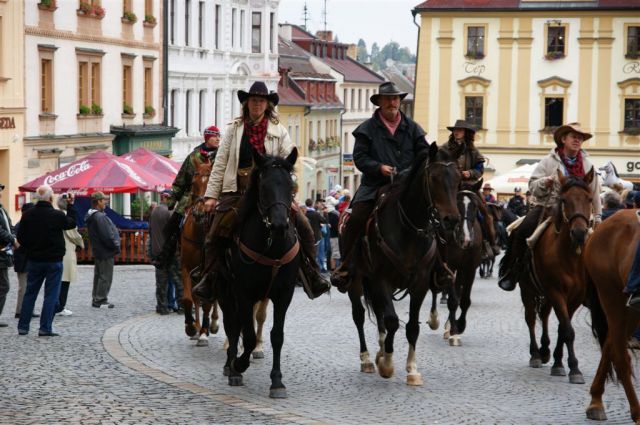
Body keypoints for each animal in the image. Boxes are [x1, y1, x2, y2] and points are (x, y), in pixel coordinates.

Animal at [218, 147, 300, 398]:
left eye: (290, 186)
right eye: (263, 187)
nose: (280, 226)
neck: (272, 247)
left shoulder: (283, 295)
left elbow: (277, 336)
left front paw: (277, 381)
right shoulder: (243, 293)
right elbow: (249, 336)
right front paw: (239, 365)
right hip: (226, 292)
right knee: (232, 325)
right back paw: (231, 366)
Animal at [344, 143, 460, 384]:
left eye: (457, 178)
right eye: (433, 178)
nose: (451, 220)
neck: (408, 229)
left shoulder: (420, 283)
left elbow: (412, 326)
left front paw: (412, 369)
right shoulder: (381, 279)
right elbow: (392, 321)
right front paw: (387, 364)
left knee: (378, 314)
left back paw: (379, 351)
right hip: (357, 281)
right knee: (359, 315)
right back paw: (367, 359)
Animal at [516, 167, 592, 382]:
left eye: (590, 199)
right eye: (564, 200)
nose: (579, 233)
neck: (570, 257)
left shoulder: (575, 297)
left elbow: (562, 328)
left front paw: (558, 362)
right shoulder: (556, 291)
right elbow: (567, 329)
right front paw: (574, 368)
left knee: (544, 315)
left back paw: (545, 350)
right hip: (527, 289)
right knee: (531, 318)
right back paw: (535, 354)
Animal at [584, 208, 640, 420]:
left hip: (630, 312)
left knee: (610, 344)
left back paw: (596, 401)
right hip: (612, 299)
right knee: (621, 356)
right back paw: (636, 413)